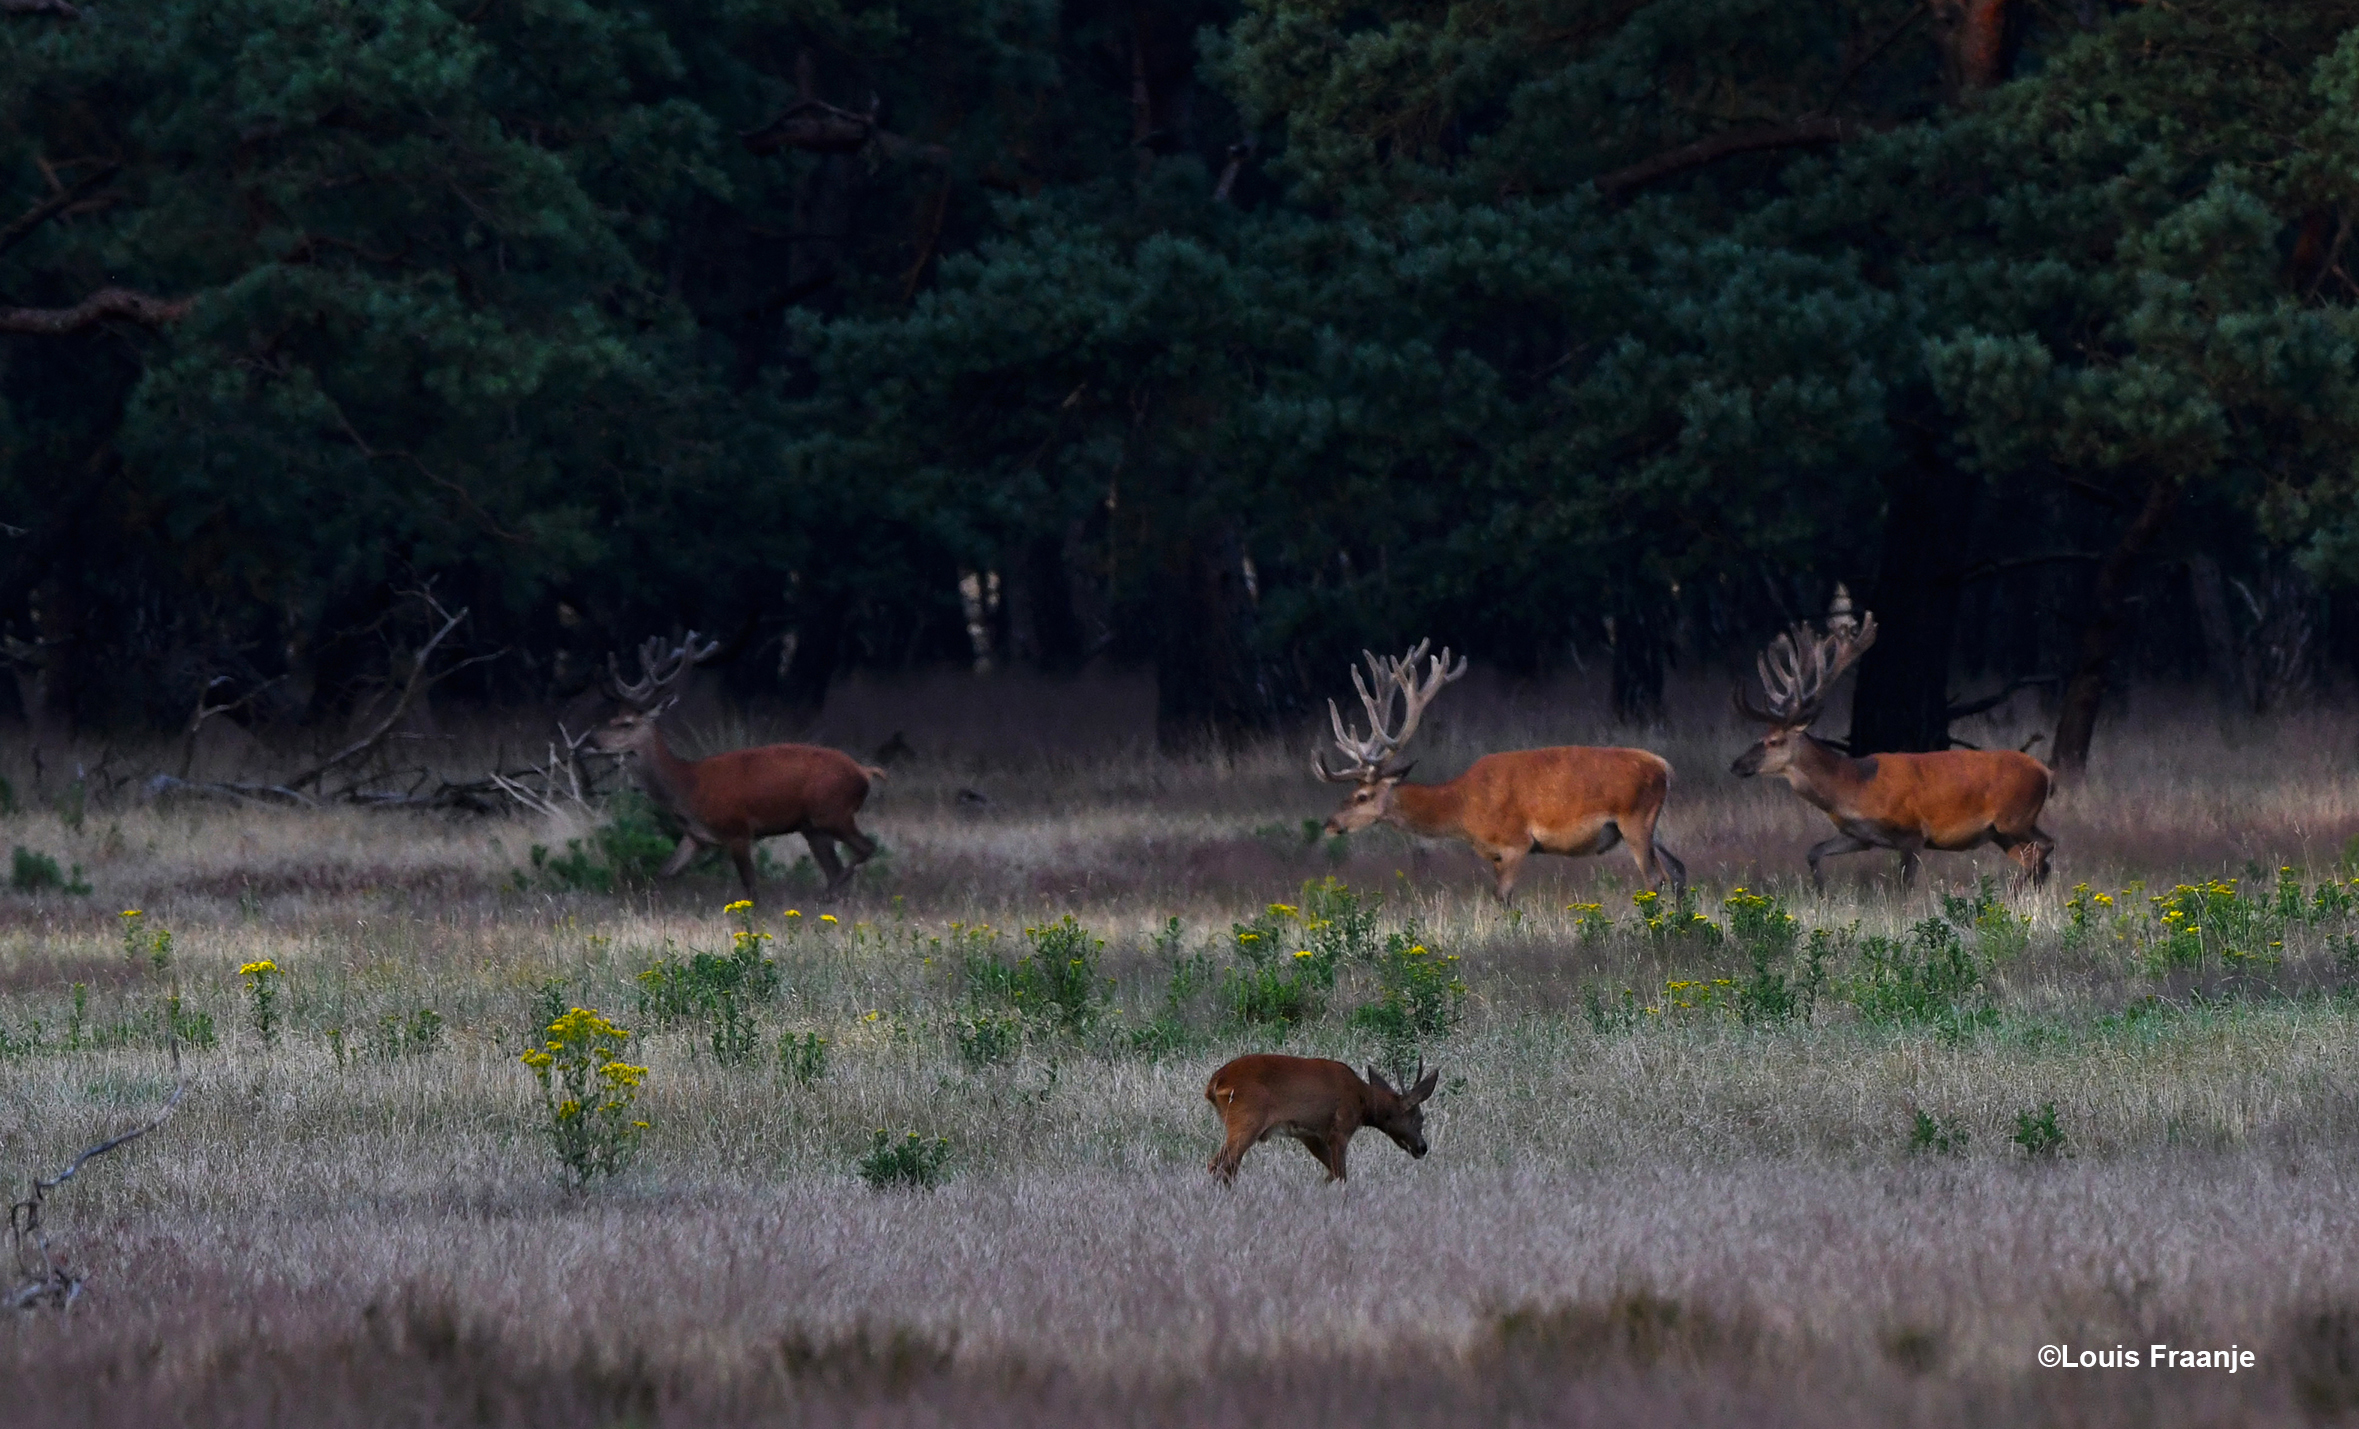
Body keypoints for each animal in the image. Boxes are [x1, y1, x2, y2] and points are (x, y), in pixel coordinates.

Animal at [587, 636, 886, 905]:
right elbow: (664, 872)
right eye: (612, 718)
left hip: (833, 812)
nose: (591, 740)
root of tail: (864, 771)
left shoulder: (738, 829)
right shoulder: (695, 836)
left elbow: (750, 887)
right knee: (835, 865)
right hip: (813, 827)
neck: (687, 785)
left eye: (626, 723)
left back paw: (828, 892)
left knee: (866, 848)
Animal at [1198, 1051, 1434, 1188]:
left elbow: (1331, 1171)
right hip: (1248, 1119)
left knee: (1228, 1166)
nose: (1422, 1147)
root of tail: (1215, 1083)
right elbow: (1341, 1174)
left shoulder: (1310, 1135)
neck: (1363, 1099)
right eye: (1419, 1118)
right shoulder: (1340, 1128)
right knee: (1220, 1165)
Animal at [1321, 646, 1689, 905]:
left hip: (1634, 819)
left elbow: (1503, 897)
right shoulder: (1494, 855)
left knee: (1655, 879)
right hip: (1650, 825)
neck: (1462, 808)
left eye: (1362, 796)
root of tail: (1665, 767)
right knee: (1678, 870)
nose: (1330, 824)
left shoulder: (1516, 842)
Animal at [1726, 591, 2057, 891]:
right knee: (2038, 858)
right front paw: (1821, 893)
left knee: (2047, 846)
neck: (1853, 787)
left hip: (2014, 817)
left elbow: (1904, 885)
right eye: (1759, 736)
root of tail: (2046, 773)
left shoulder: (1912, 832)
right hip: (2000, 832)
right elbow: (1813, 852)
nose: (1736, 765)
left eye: (1774, 740)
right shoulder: (1858, 836)